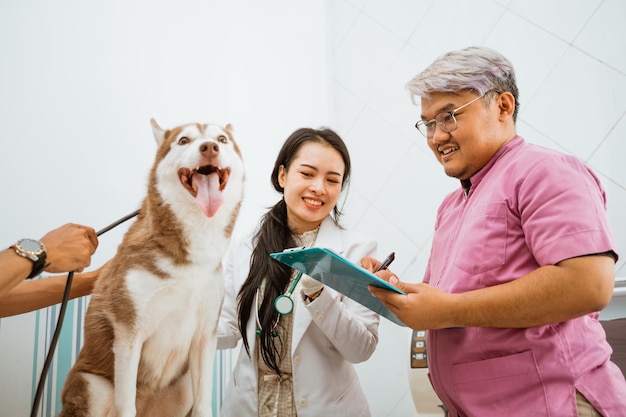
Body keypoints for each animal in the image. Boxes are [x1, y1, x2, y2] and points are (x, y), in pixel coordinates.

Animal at [59, 118, 244, 416]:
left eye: (222, 139)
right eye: (184, 140)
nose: (209, 147)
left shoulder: (205, 337)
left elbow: (204, 404)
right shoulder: (129, 334)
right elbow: (125, 407)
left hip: (183, 386)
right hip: (93, 386)